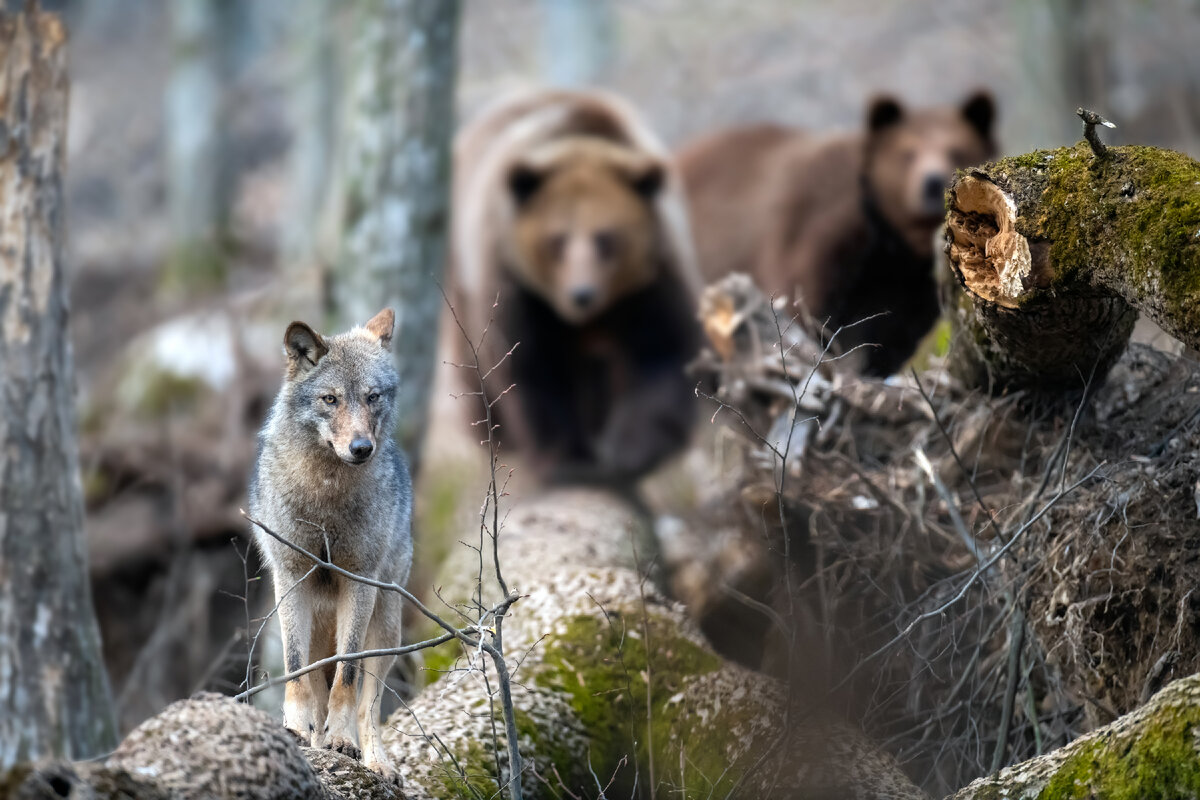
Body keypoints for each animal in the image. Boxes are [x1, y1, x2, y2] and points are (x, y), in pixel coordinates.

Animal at [676, 92, 993, 376]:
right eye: (907, 152)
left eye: (956, 149)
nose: (932, 183)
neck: (892, 242)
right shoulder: (818, 239)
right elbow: (807, 313)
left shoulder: (911, 289)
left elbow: (888, 340)